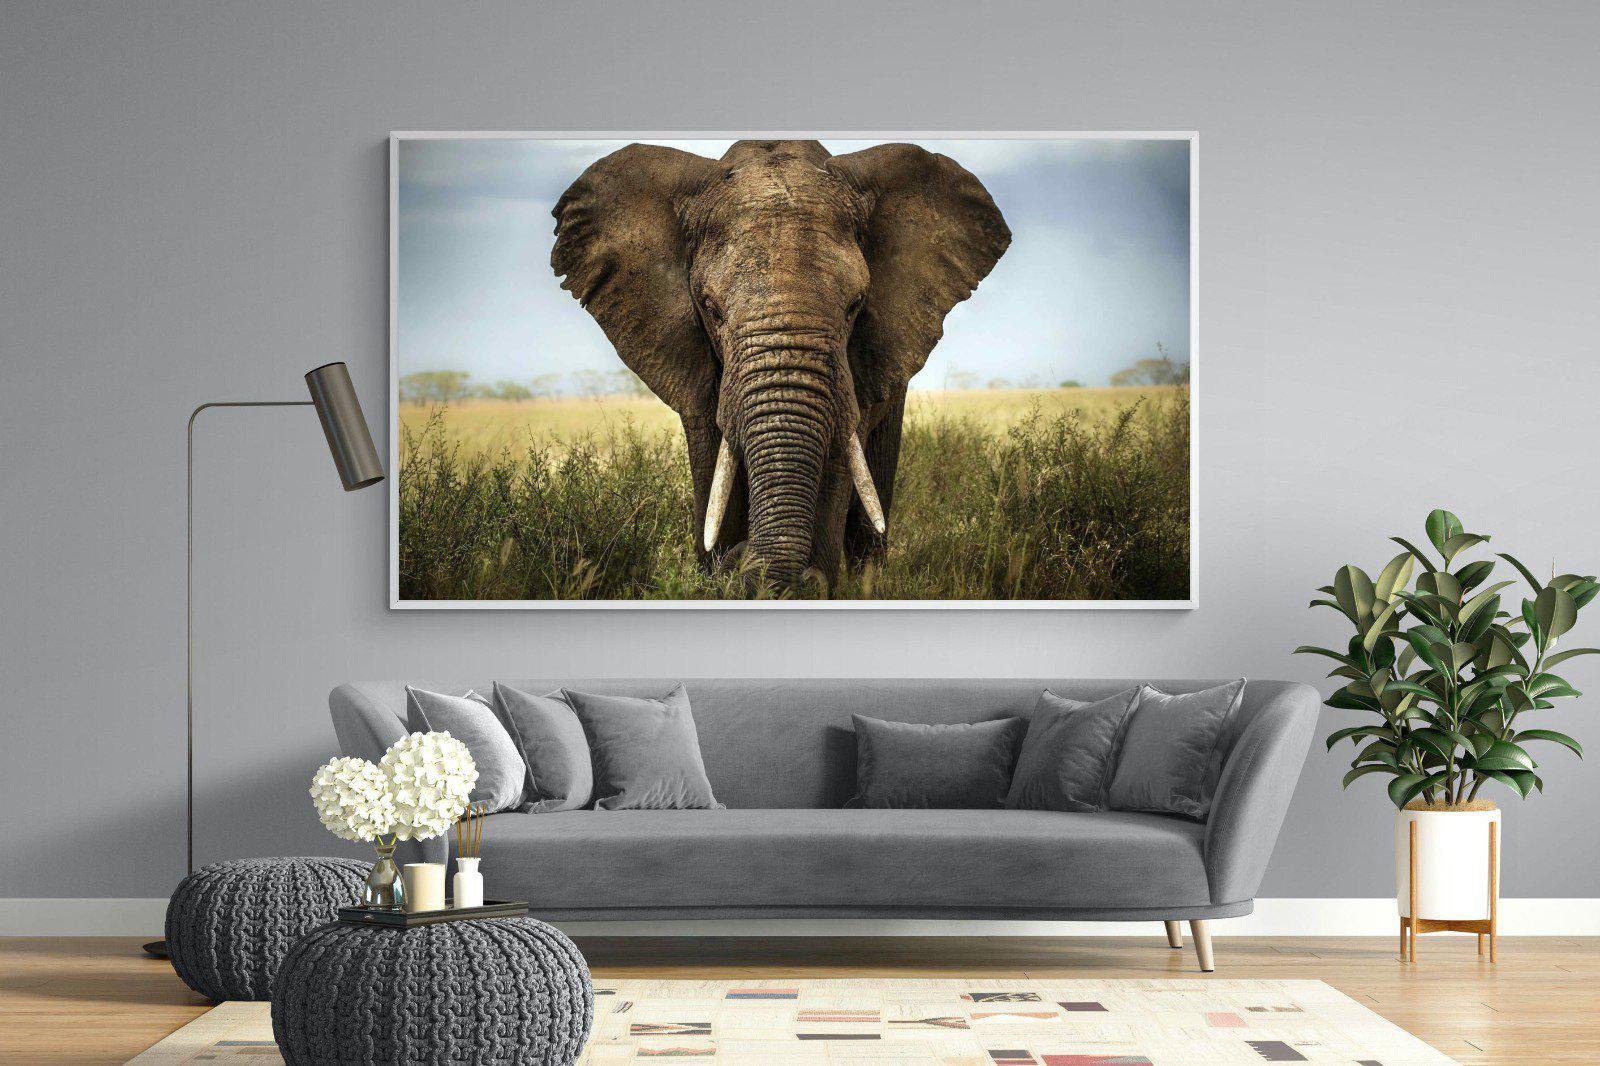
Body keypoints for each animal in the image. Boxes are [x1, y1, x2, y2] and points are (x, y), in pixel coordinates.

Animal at [551, 139, 1009, 587]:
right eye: (711, 309)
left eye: (855, 306)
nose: (741, 560)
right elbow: (713, 463)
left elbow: (839, 459)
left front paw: (810, 582)